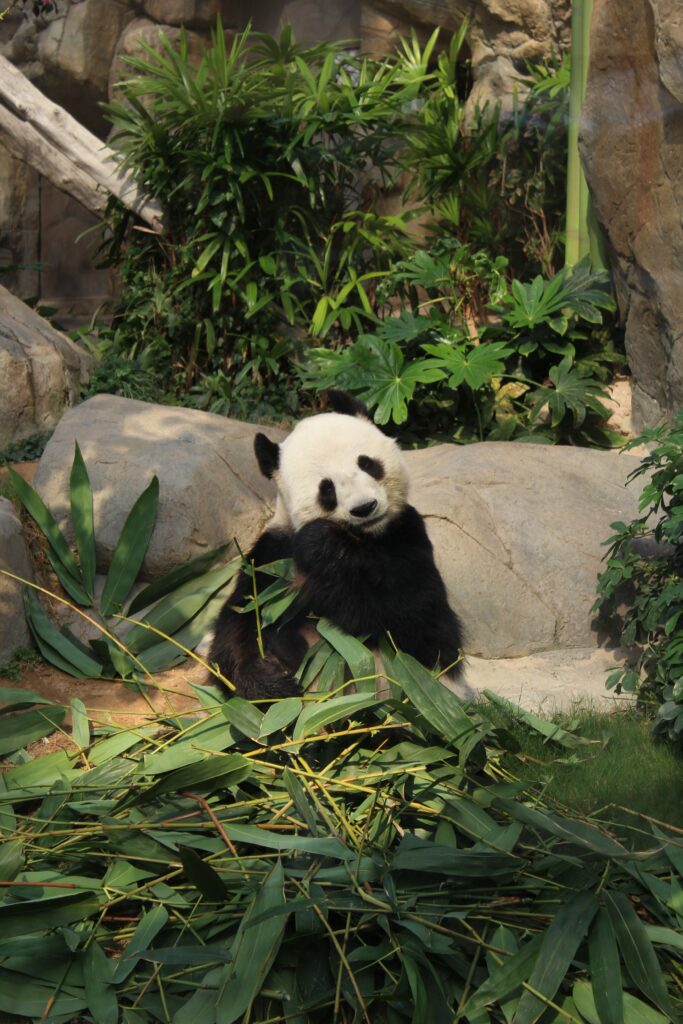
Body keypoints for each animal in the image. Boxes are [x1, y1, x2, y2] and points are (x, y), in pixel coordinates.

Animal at [209, 391, 463, 700]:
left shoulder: (408, 536)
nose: (365, 507)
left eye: (367, 464)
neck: (364, 538)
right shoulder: (273, 557)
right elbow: (241, 617)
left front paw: (321, 543)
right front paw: (267, 680)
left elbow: (420, 621)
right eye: (326, 488)